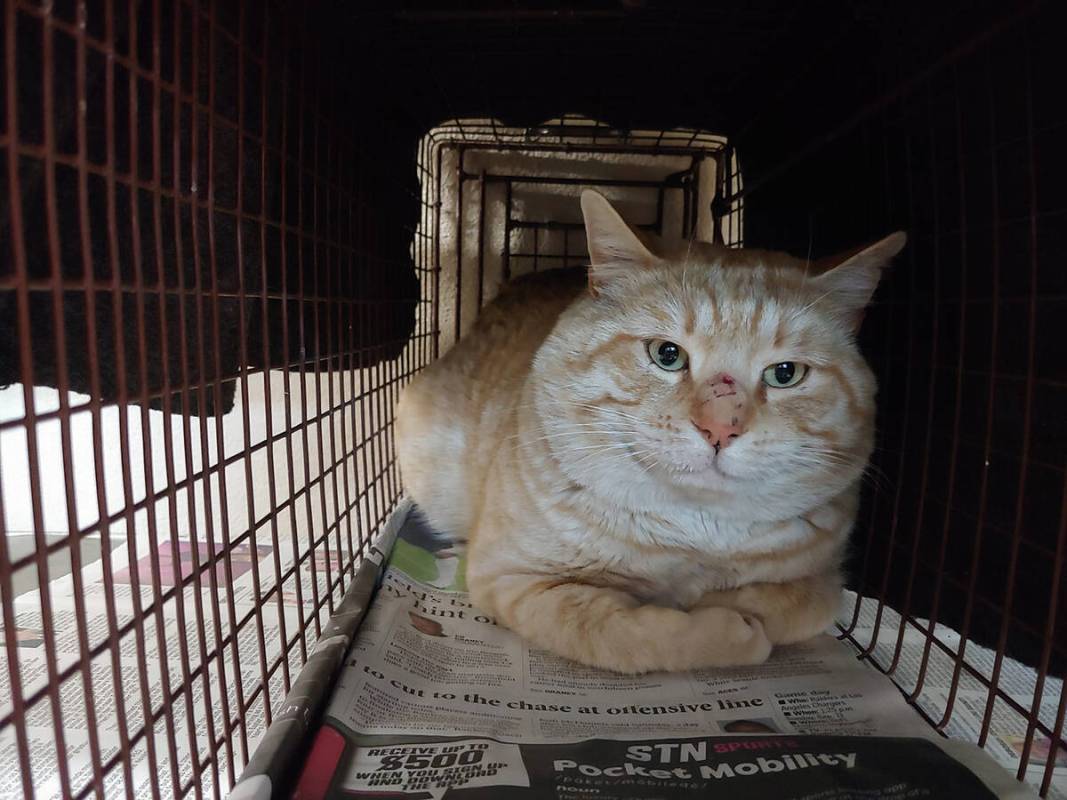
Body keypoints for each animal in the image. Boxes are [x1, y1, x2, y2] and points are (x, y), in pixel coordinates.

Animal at [396, 190, 904, 674]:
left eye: (784, 374)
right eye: (667, 354)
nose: (719, 429)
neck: (694, 528)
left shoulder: (826, 582)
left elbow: (783, 602)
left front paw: (725, 605)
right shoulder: (511, 579)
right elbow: (625, 631)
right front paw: (727, 630)